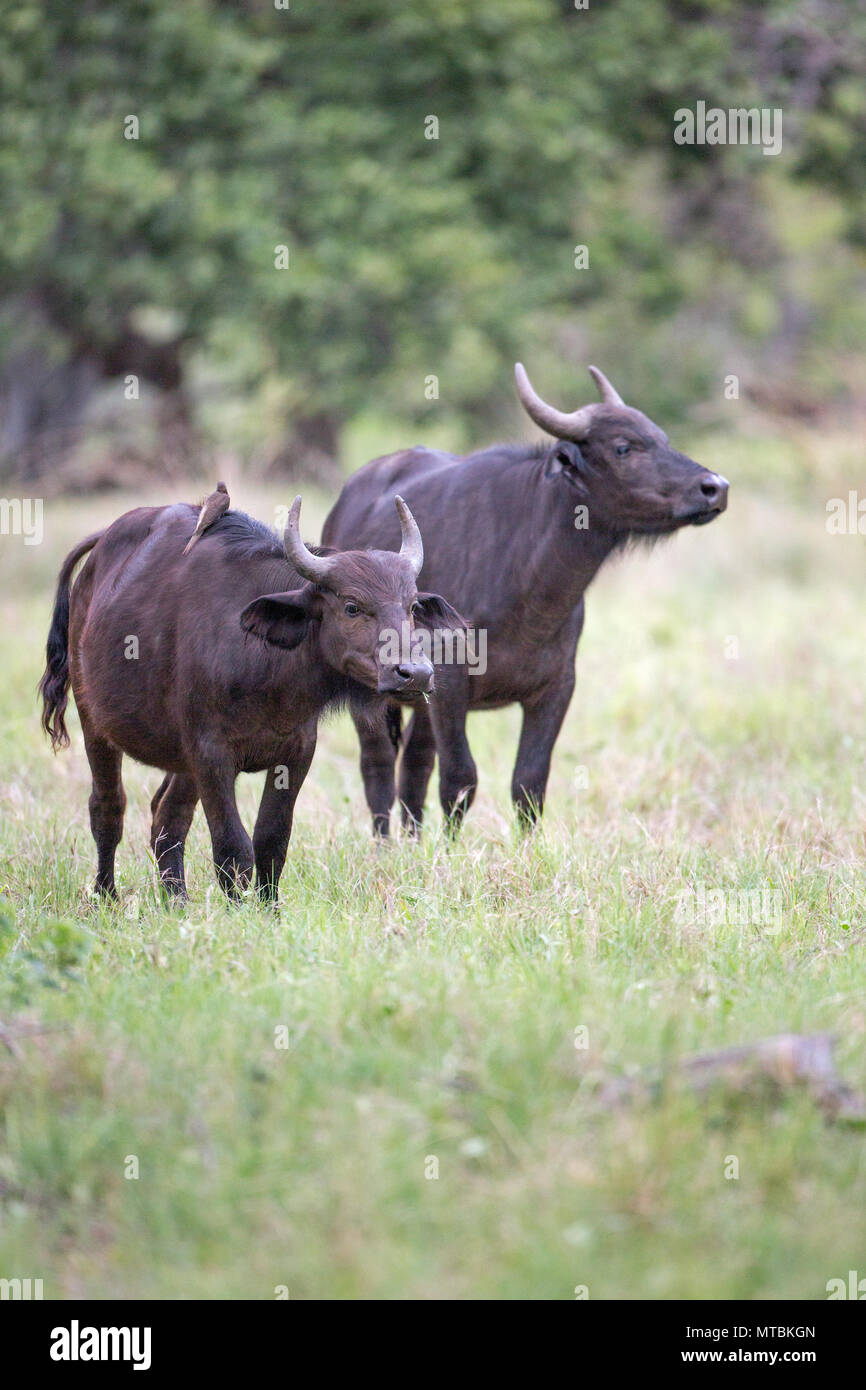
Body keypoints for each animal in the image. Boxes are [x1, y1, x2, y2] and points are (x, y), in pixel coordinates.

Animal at [39, 493, 461, 900]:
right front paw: (239, 907)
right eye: (352, 606)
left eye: (411, 606)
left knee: (167, 818)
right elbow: (232, 845)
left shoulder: (295, 754)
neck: (266, 669)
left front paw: (269, 909)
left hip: (182, 762)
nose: (415, 673)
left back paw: (177, 900)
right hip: (94, 723)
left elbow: (271, 841)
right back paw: (106, 895)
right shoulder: (211, 755)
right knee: (108, 808)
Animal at [323, 363, 729, 835]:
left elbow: (528, 783)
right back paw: (385, 843)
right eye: (624, 447)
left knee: (415, 763)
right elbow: (460, 779)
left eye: (662, 438)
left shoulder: (556, 687)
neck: (531, 596)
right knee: (378, 764)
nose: (715, 487)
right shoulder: (451, 684)